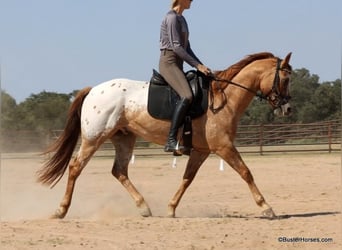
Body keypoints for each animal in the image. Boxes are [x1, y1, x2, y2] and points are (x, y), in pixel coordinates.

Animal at [38, 51, 294, 219]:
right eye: (285, 79)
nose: (287, 108)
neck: (225, 97)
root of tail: (93, 90)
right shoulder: (223, 146)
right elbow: (246, 172)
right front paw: (267, 208)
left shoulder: (202, 151)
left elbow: (187, 178)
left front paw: (171, 208)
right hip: (94, 137)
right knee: (75, 167)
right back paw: (61, 210)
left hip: (124, 138)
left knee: (119, 171)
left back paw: (144, 207)